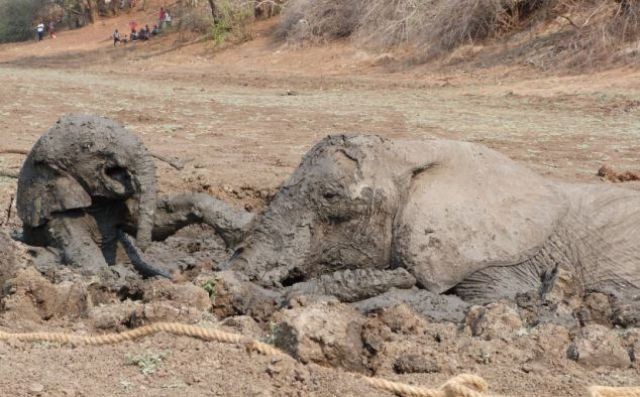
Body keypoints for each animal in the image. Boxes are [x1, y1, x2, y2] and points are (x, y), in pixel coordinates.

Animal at [16, 113, 251, 276]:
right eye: (89, 146)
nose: (142, 246)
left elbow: (160, 223)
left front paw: (245, 225)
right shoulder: (59, 218)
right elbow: (87, 260)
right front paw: (117, 275)